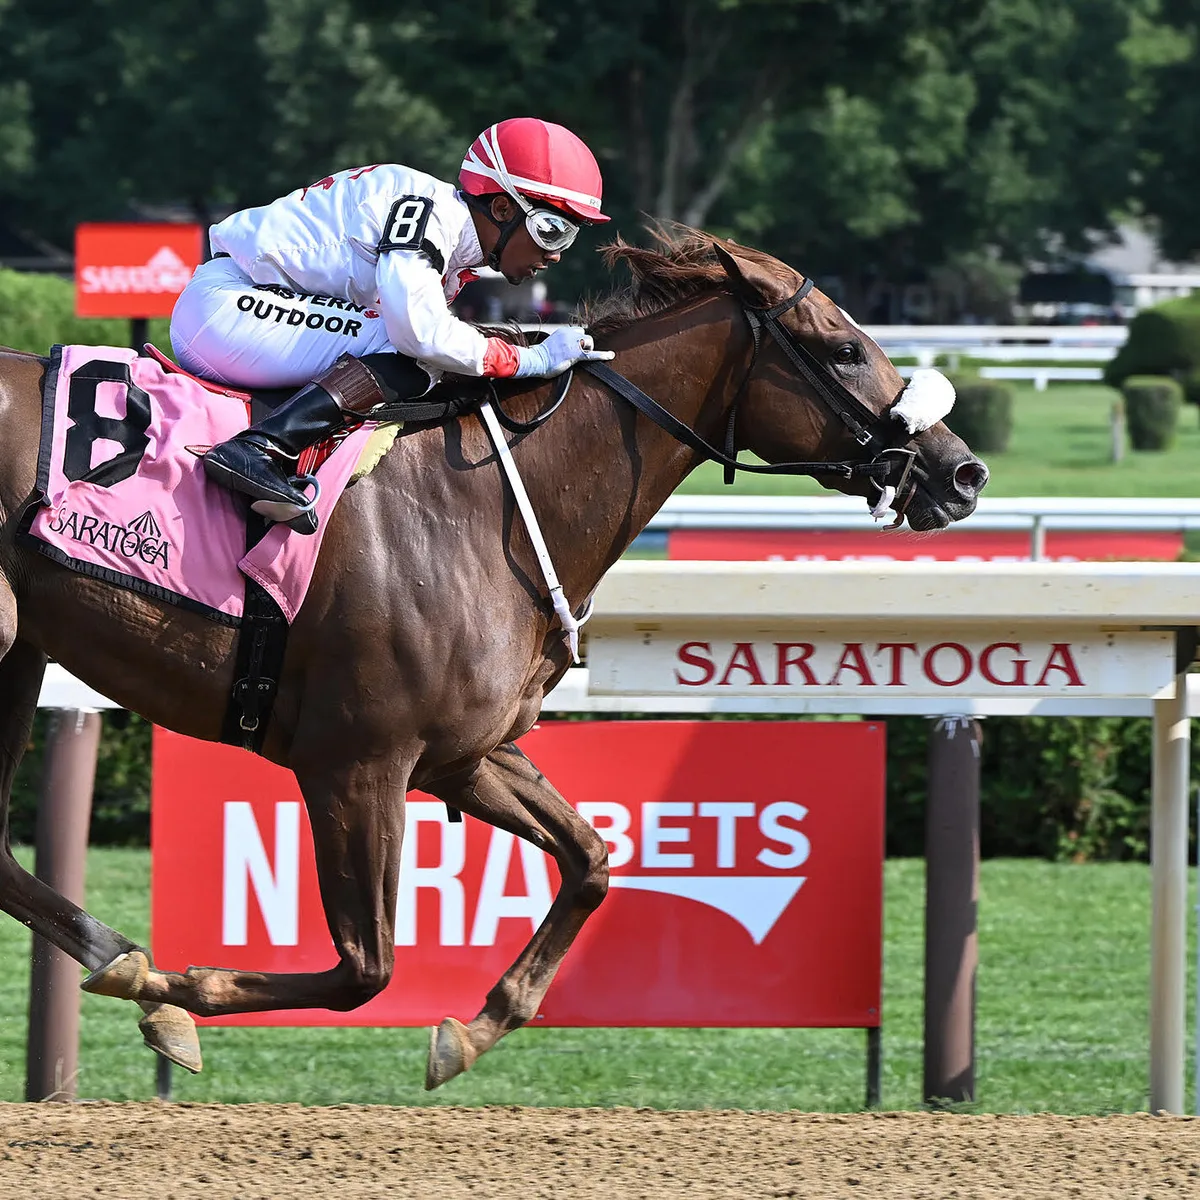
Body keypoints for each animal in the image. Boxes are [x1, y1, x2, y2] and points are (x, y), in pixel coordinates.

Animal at [0, 228, 988, 1089]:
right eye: (845, 348)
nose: (963, 472)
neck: (487, 506)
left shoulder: (463, 755)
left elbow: (591, 859)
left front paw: (471, 1032)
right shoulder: (355, 762)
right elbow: (366, 967)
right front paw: (178, 993)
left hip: (21, 659)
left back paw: (117, 956)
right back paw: (130, 966)